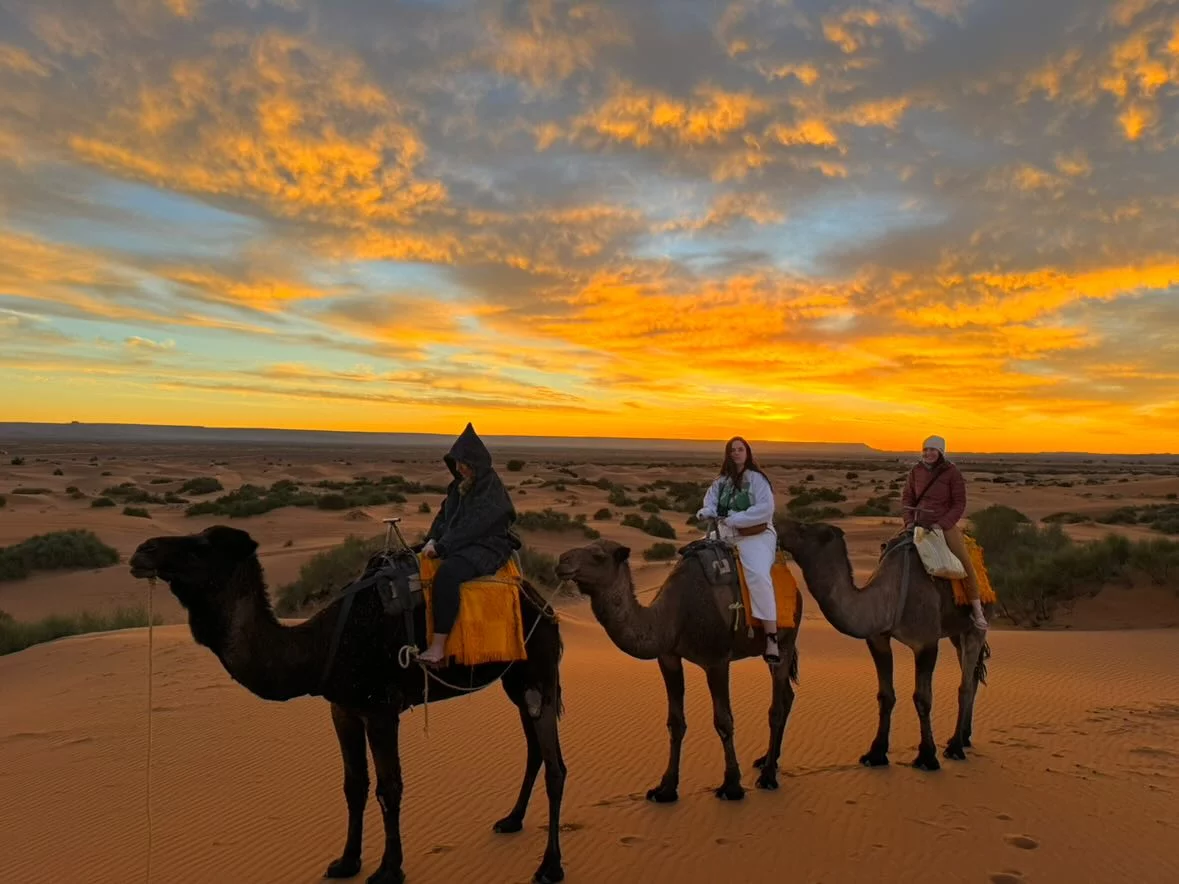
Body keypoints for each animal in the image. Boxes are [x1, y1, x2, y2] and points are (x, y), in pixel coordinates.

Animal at [129, 525, 567, 884]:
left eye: (201, 546)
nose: (142, 551)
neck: (319, 647)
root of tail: (542, 602)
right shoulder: (343, 709)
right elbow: (354, 784)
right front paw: (346, 862)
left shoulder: (380, 709)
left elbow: (390, 787)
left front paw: (389, 870)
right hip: (514, 680)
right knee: (534, 751)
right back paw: (511, 820)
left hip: (539, 671)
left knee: (555, 766)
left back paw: (549, 867)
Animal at [555, 537, 801, 800]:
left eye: (598, 555)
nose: (561, 562)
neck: (674, 615)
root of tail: (796, 589)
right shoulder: (668, 657)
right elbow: (675, 722)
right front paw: (665, 788)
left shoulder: (716, 660)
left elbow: (723, 721)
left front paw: (732, 786)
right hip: (768, 652)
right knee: (787, 696)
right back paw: (768, 760)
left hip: (785, 641)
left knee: (776, 707)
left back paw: (768, 776)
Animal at [774, 518, 992, 772]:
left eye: (802, 528)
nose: (777, 527)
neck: (888, 598)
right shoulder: (878, 640)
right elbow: (885, 695)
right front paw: (875, 753)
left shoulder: (926, 642)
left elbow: (922, 698)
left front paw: (927, 757)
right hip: (957, 634)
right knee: (972, 677)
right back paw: (964, 737)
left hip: (976, 624)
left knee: (965, 684)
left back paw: (956, 747)